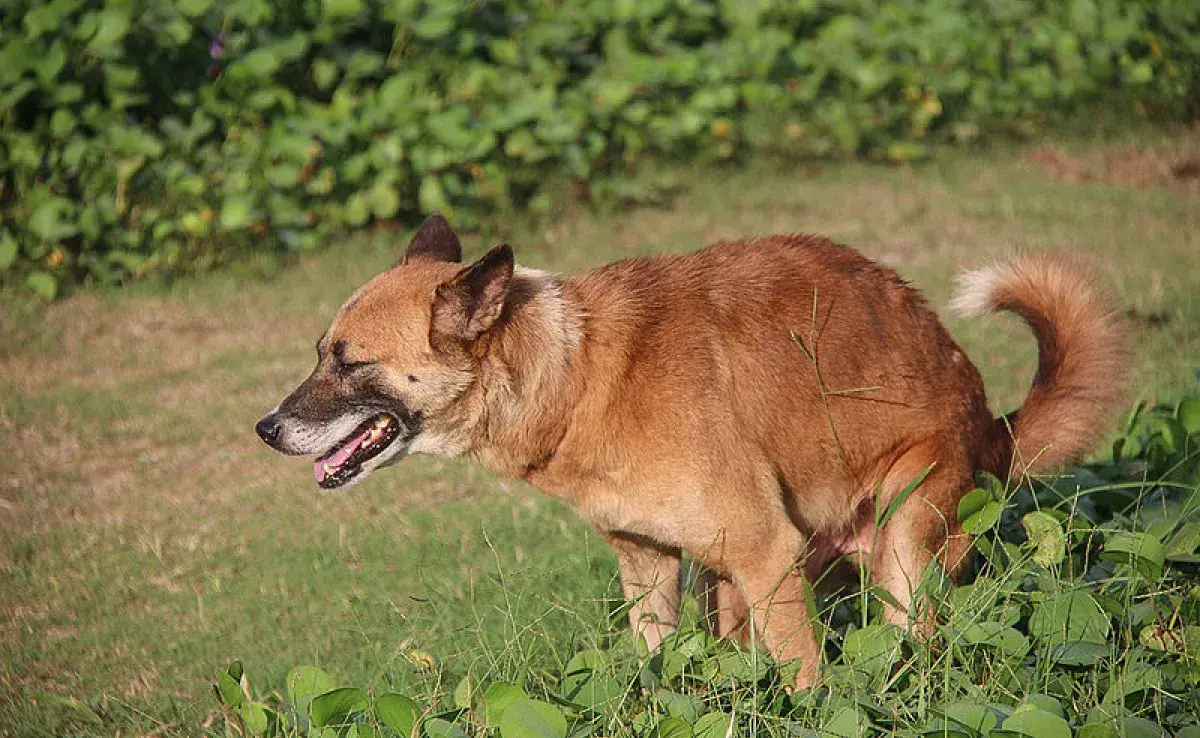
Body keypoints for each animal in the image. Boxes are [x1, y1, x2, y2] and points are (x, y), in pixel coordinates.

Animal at [253, 216, 1123, 691]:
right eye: (320, 353)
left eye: (349, 362)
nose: (266, 428)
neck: (578, 374)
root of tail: (992, 423)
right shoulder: (651, 566)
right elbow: (660, 666)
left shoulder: (765, 552)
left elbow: (809, 682)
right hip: (735, 578)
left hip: (897, 547)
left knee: (918, 643)